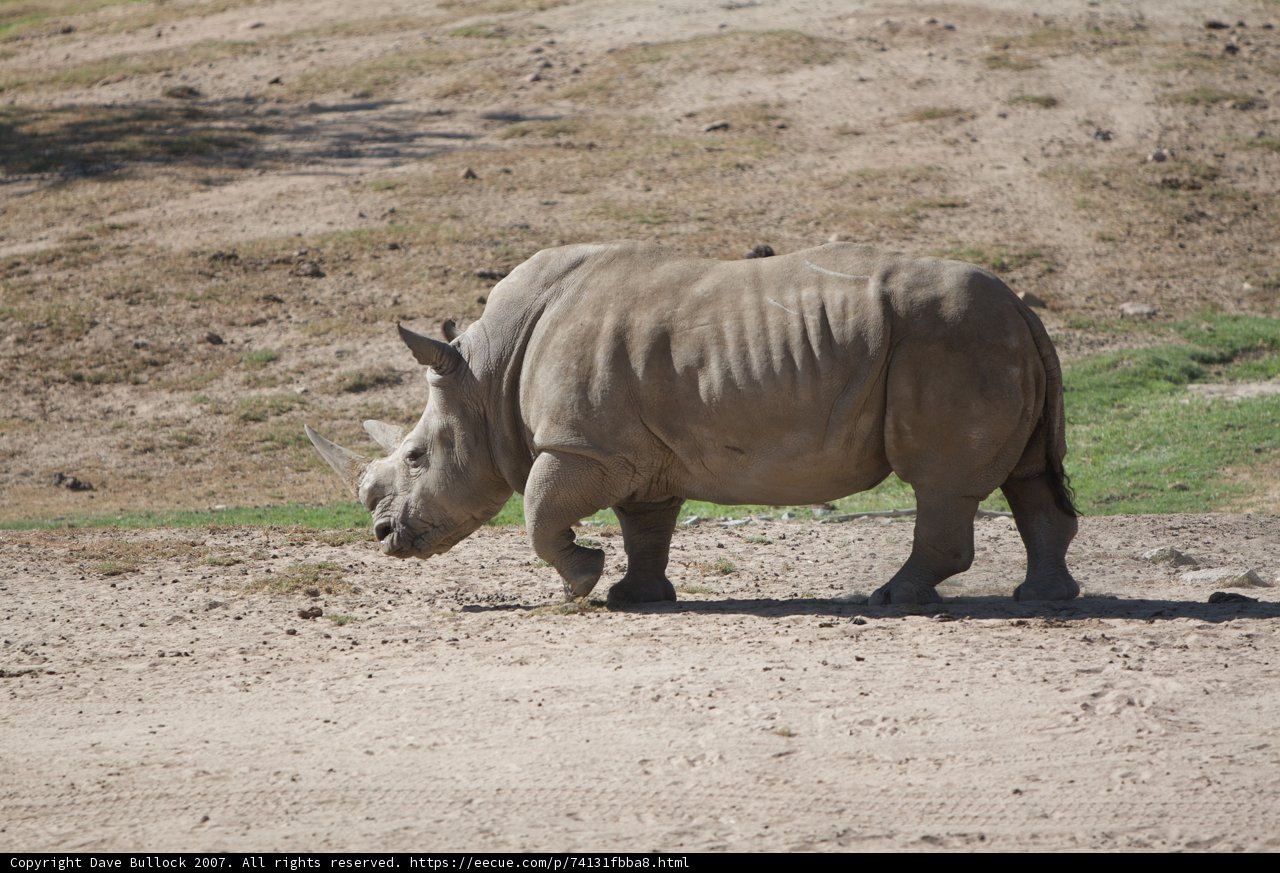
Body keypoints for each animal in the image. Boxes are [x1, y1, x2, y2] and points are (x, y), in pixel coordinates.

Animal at [305, 241, 1079, 606]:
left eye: (415, 456)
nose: (383, 537)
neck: (486, 375)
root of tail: (1023, 307)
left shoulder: (582, 445)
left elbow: (538, 511)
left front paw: (580, 583)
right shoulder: (639, 454)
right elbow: (647, 528)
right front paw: (634, 597)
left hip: (949, 340)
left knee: (939, 483)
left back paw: (891, 599)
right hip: (986, 338)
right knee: (1028, 476)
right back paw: (1043, 598)